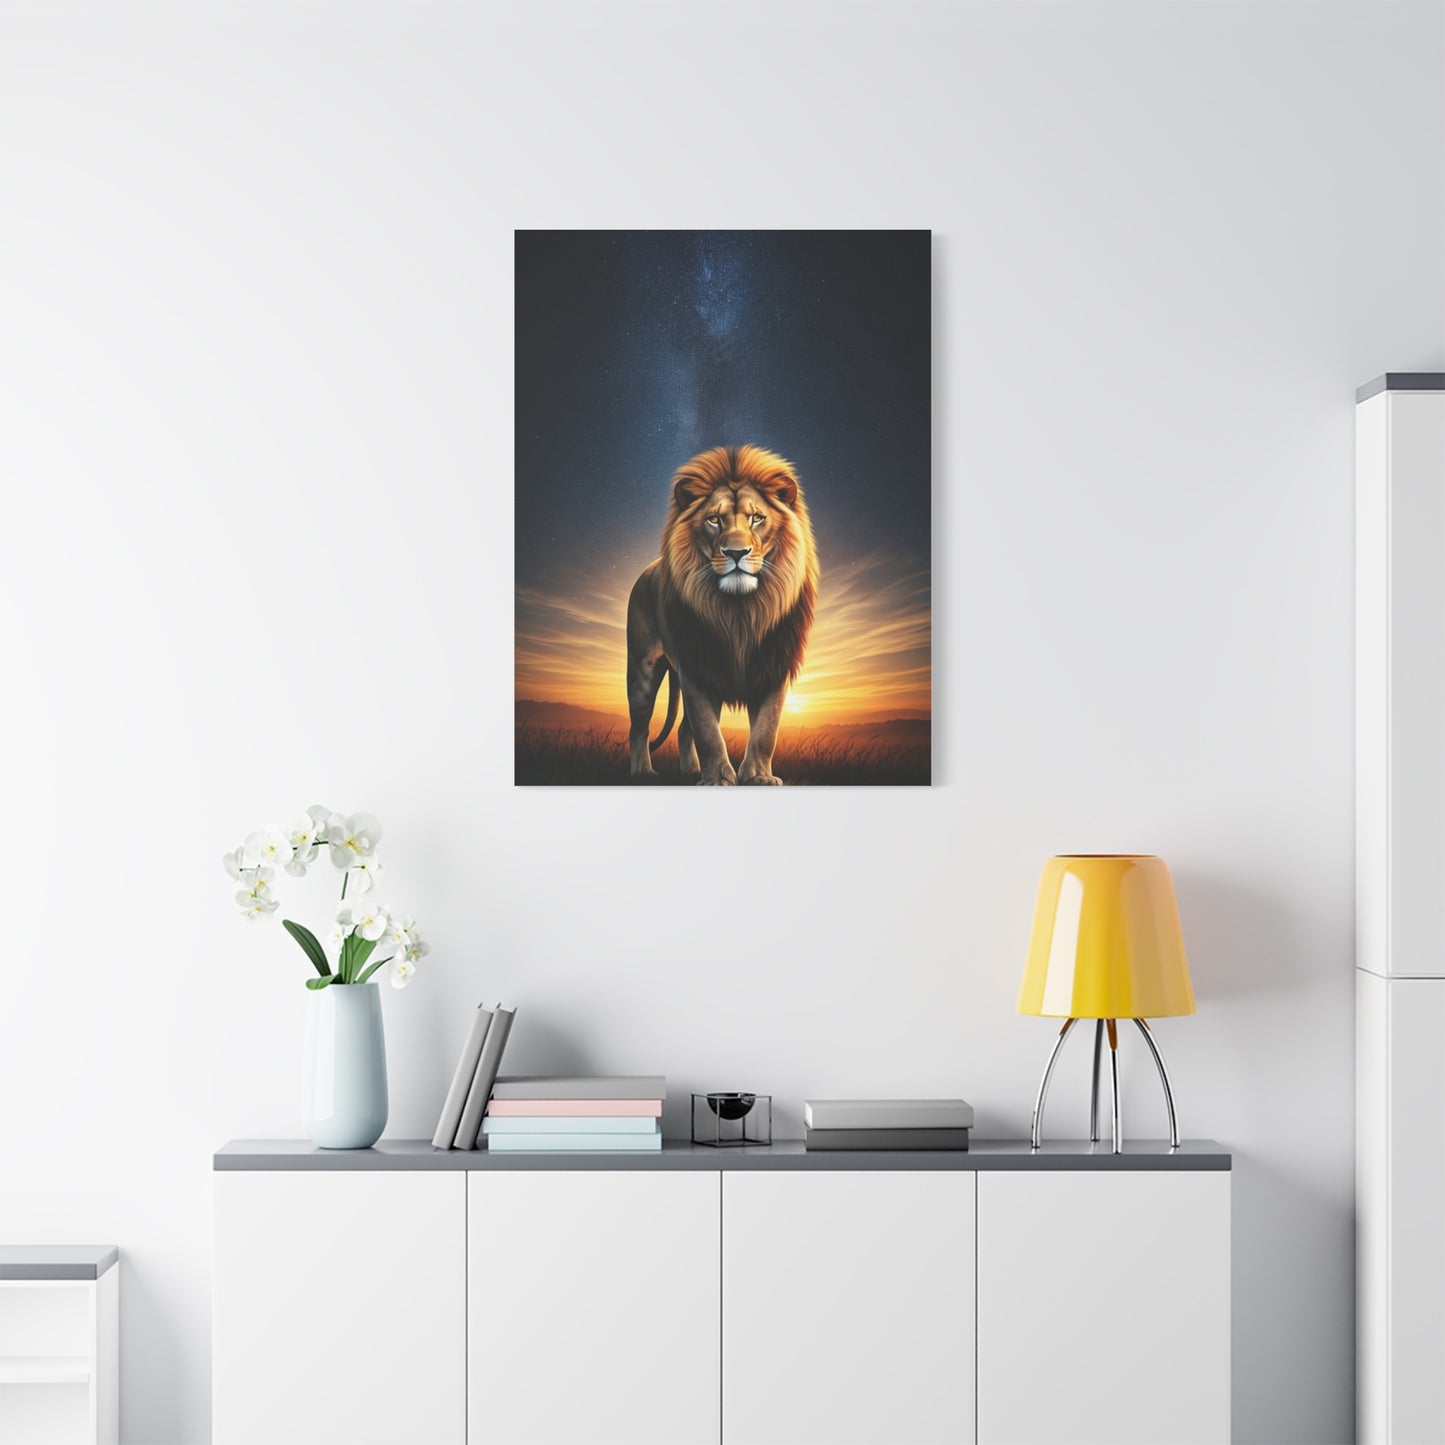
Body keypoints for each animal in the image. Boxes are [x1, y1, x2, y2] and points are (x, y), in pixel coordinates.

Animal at [625, 444, 818, 786]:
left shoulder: (773, 667)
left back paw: (689, 771)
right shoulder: (696, 669)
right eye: (714, 520)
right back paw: (643, 771)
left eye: (757, 518)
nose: (736, 553)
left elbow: (766, 731)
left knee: (682, 729)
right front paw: (717, 779)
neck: (740, 612)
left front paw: (759, 776)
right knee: (639, 728)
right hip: (642, 671)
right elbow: (708, 733)